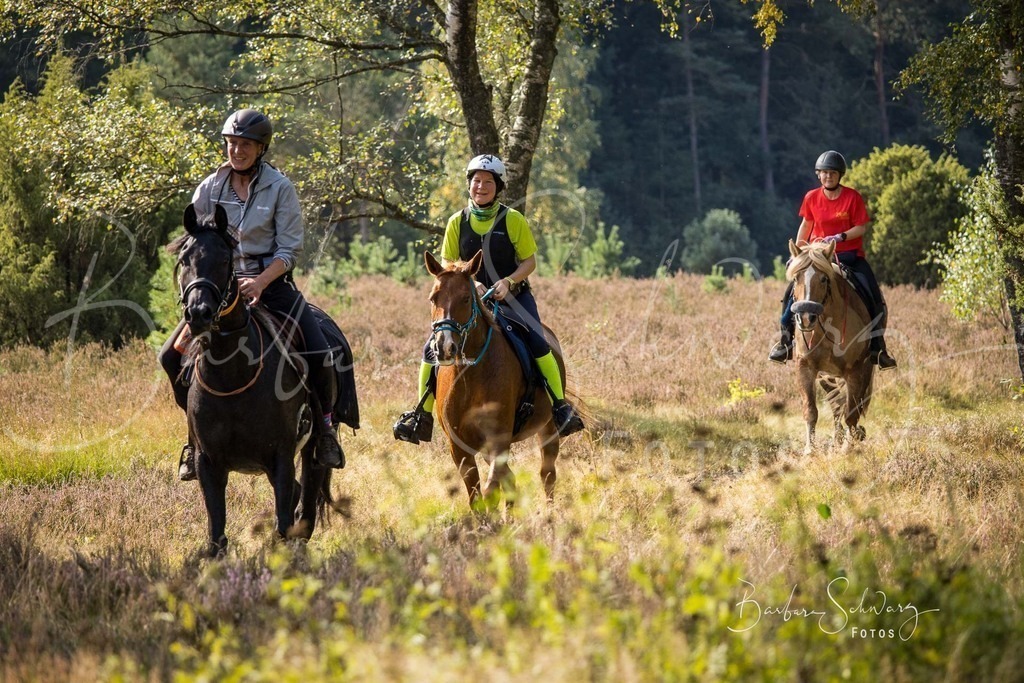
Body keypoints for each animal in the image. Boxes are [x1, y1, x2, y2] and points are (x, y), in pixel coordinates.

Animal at [424, 251, 565, 509]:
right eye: (433, 298)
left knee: (547, 474)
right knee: (512, 481)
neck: (470, 375)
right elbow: (476, 495)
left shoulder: (499, 440)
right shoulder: (459, 447)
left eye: (465, 299)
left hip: (548, 428)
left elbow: (490, 490)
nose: (444, 347)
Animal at [786, 239, 875, 454]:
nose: (806, 317)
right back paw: (837, 439)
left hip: (864, 369)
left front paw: (848, 449)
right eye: (796, 278)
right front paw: (810, 451)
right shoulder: (806, 367)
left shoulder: (855, 370)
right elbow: (811, 410)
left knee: (853, 406)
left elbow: (852, 412)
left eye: (824, 279)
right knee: (836, 406)